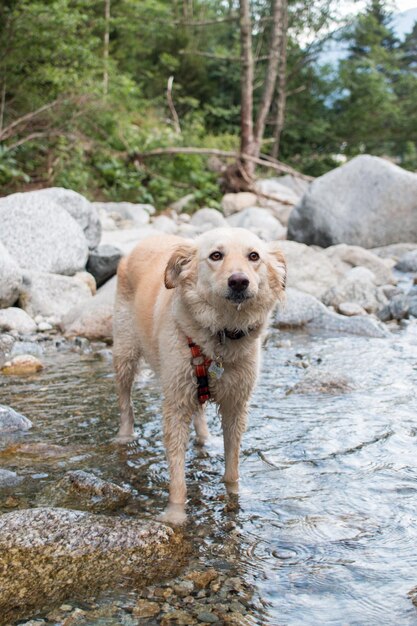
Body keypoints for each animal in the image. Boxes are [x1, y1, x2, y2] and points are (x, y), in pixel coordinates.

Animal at [112, 227, 284, 520]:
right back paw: (125, 435)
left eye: (254, 256)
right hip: (124, 352)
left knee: (199, 410)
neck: (221, 335)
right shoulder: (176, 404)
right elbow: (177, 473)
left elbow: (232, 466)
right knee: (125, 401)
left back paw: (206, 439)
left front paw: (234, 494)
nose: (239, 282)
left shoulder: (236, 406)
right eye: (216, 255)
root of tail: (147, 238)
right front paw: (175, 514)